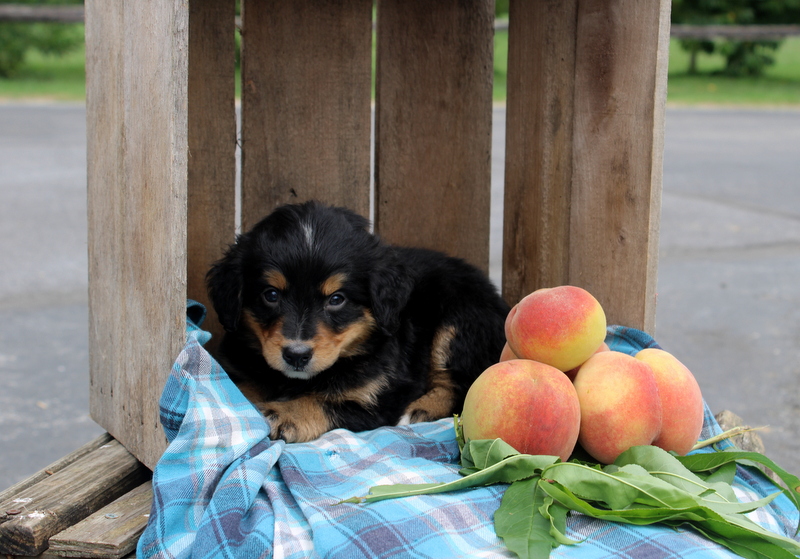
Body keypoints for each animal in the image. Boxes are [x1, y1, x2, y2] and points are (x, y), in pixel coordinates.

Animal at [206, 201, 506, 442]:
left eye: (337, 299)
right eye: (271, 295)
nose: (296, 355)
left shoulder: (377, 396)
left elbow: (323, 401)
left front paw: (284, 413)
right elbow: (242, 387)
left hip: (458, 321)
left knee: (461, 384)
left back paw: (419, 410)